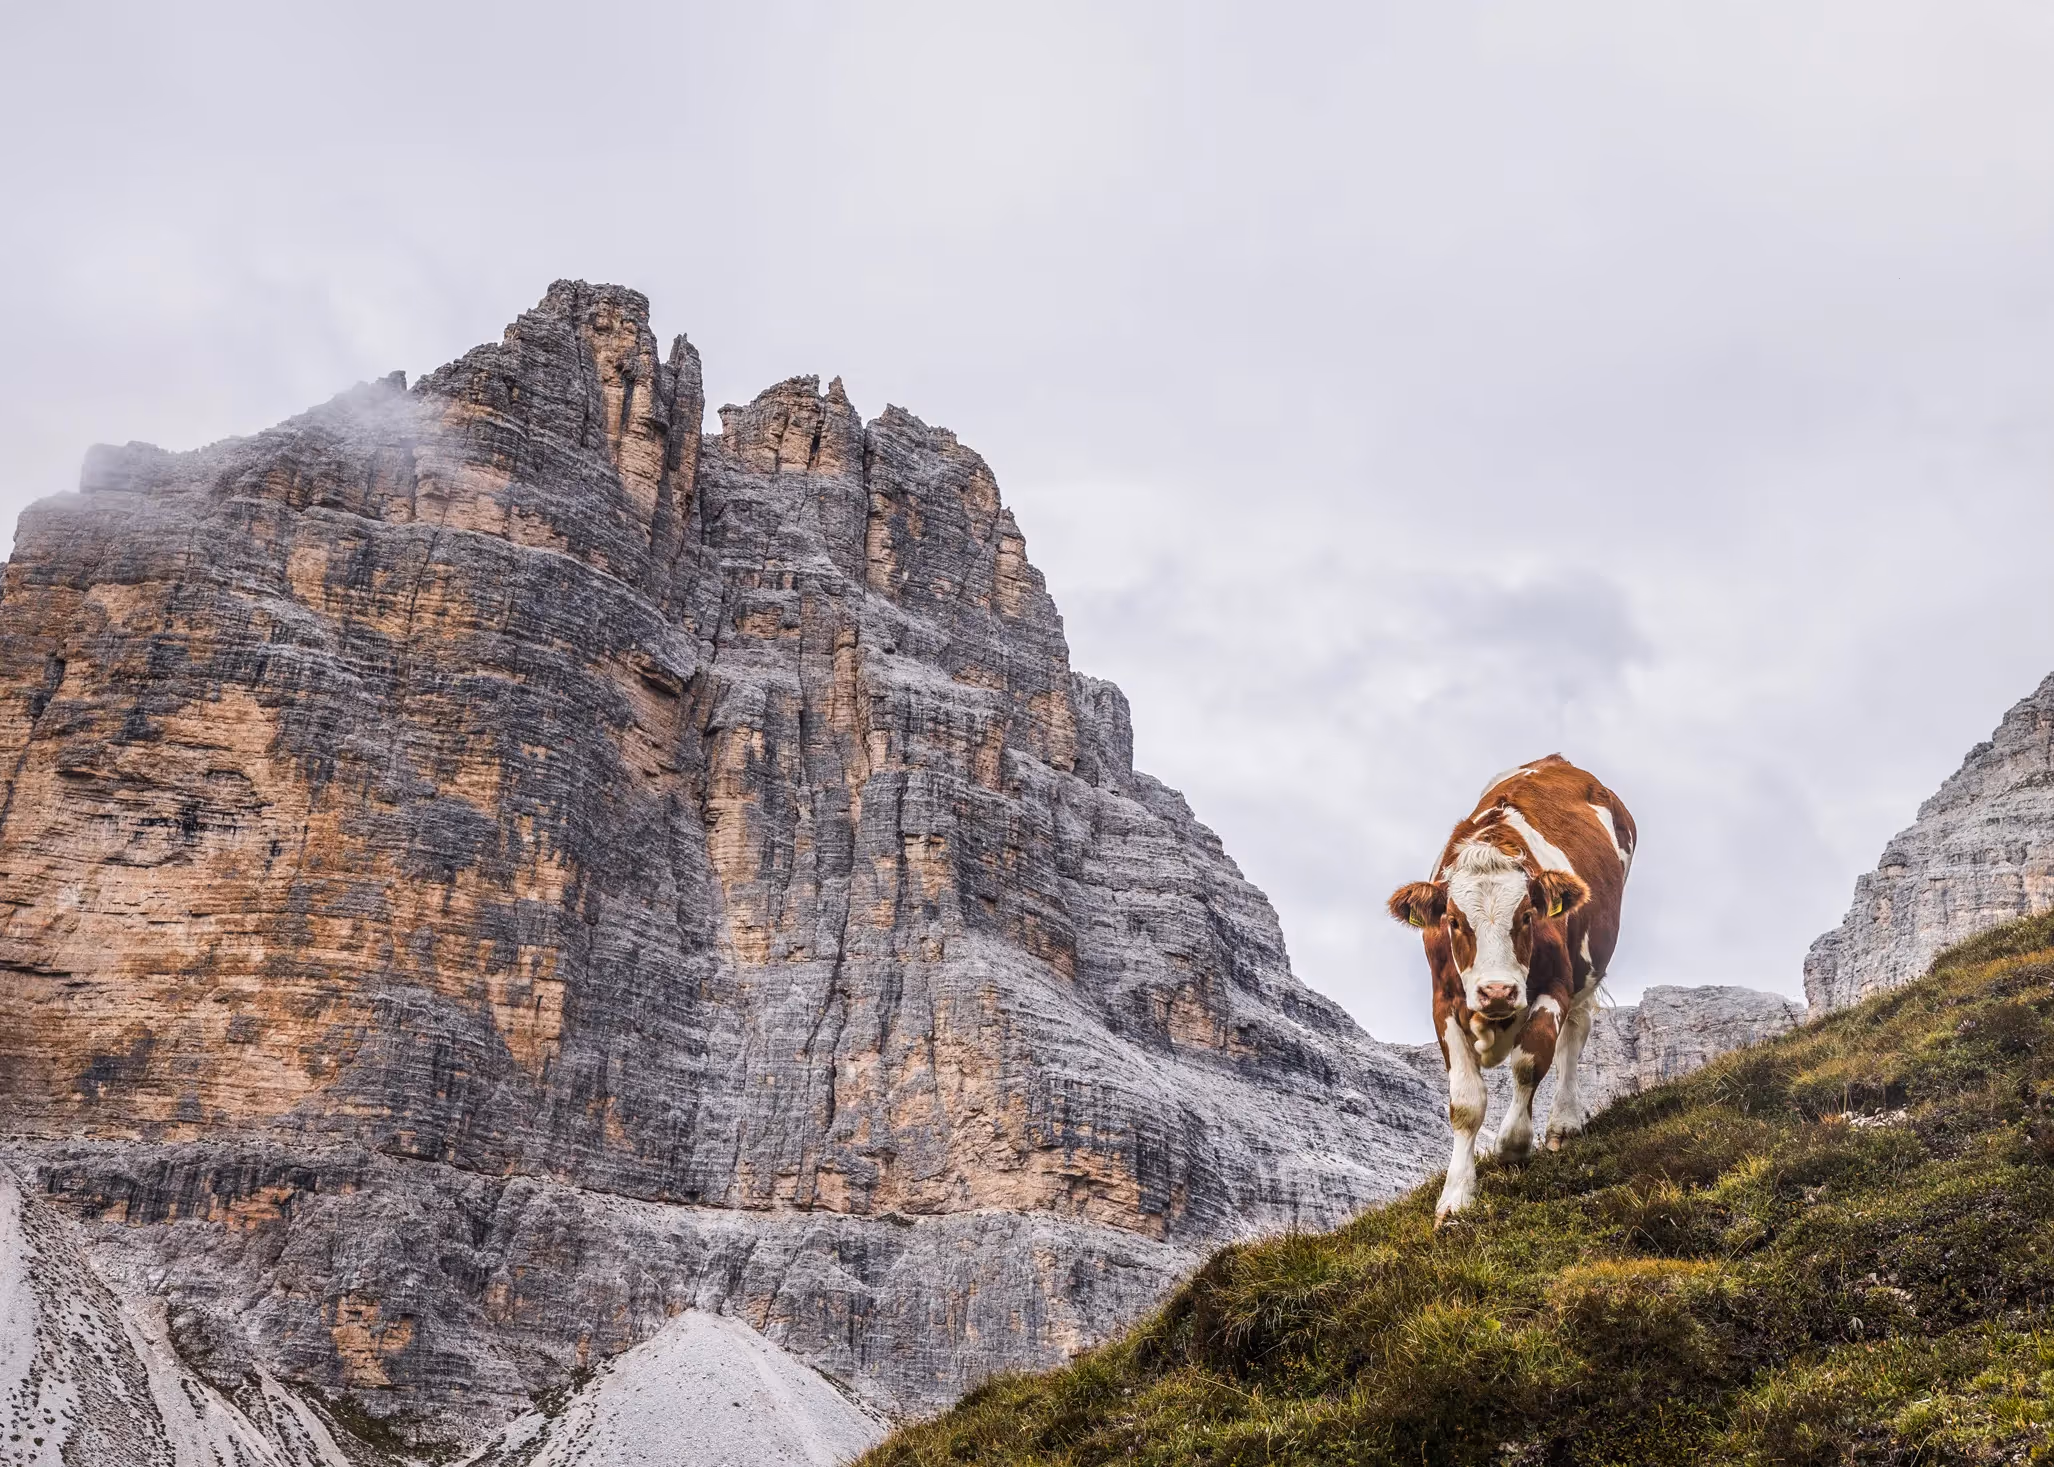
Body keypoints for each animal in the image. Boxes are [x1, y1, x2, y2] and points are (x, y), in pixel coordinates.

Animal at [1387, 754, 1635, 1224]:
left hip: (1587, 970)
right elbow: (1466, 1102)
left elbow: (1530, 1060)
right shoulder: (1444, 1004)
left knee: (1573, 1037)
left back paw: (1563, 1123)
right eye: (1454, 920)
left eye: (1525, 916)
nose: (1498, 992)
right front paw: (1455, 1198)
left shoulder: (1557, 986)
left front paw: (1514, 1144)